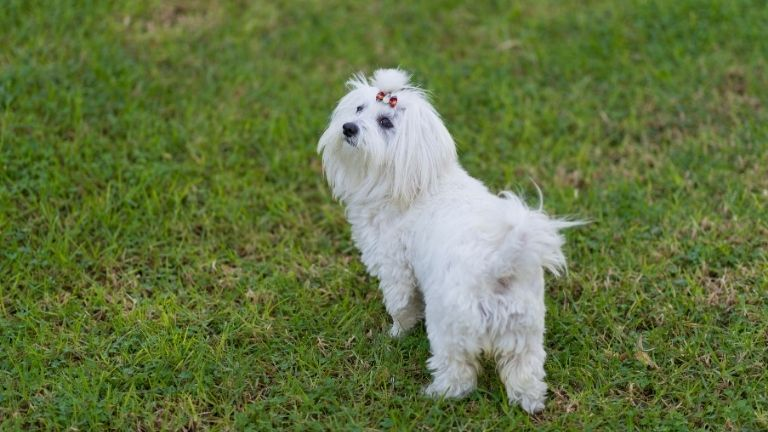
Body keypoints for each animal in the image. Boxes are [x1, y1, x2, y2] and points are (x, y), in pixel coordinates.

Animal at [316, 69, 576, 414]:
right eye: (358, 109)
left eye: (386, 122)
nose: (348, 128)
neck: (418, 182)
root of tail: (499, 266)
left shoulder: (394, 267)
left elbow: (401, 306)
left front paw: (396, 334)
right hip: (525, 332)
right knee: (524, 371)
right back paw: (529, 402)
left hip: (450, 329)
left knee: (460, 375)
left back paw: (437, 394)